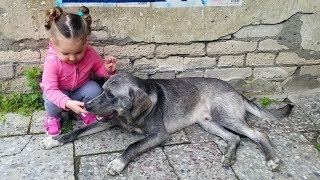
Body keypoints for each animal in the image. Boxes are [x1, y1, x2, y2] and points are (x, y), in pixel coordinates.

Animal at [40, 72, 292, 175]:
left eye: (111, 95)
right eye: (102, 90)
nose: (87, 105)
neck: (132, 114)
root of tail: (236, 91)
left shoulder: (159, 135)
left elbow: (131, 146)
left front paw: (117, 163)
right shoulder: (110, 122)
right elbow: (79, 130)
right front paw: (55, 140)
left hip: (225, 116)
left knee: (259, 134)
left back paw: (272, 159)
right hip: (208, 123)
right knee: (235, 137)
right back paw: (228, 156)